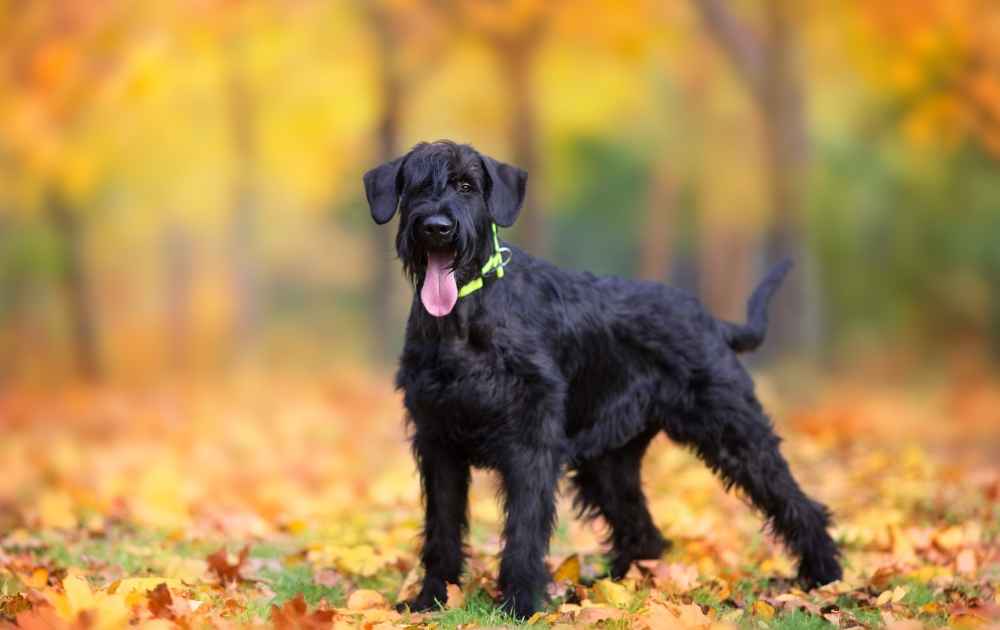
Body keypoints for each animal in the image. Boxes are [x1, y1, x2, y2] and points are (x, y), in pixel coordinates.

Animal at [364, 141, 840, 620]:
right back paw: (617, 589)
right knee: (642, 531)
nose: (436, 228)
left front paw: (520, 605)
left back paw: (825, 578)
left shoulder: (530, 445)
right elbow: (441, 528)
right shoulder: (437, 442)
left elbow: (524, 530)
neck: (464, 319)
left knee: (797, 503)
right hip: (607, 463)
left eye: (466, 185)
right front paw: (430, 600)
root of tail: (712, 322)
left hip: (734, 432)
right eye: (416, 184)